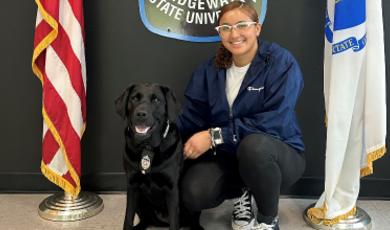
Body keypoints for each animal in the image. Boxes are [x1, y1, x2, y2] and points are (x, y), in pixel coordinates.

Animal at [114, 84, 203, 230]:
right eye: (134, 98)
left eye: (156, 99)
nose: (141, 114)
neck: (147, 147)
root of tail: (161, 222)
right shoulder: (132, 186)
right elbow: (128, 218)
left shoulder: (172, 189)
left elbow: (174, 222)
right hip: (141, 201)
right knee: (145, 220)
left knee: (193, 220)